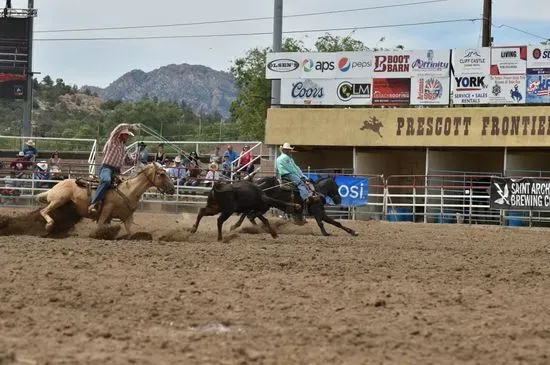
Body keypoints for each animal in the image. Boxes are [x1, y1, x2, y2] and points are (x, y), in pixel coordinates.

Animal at [34, 162, 176, 233]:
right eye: (162, 174)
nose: (173, 188)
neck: (129, 190)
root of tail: (54, 187)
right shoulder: (106, 211)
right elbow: (100, 226)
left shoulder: (128, 217)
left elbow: (130, 232)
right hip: (58, 200)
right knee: (44, 211)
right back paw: (49, 225)